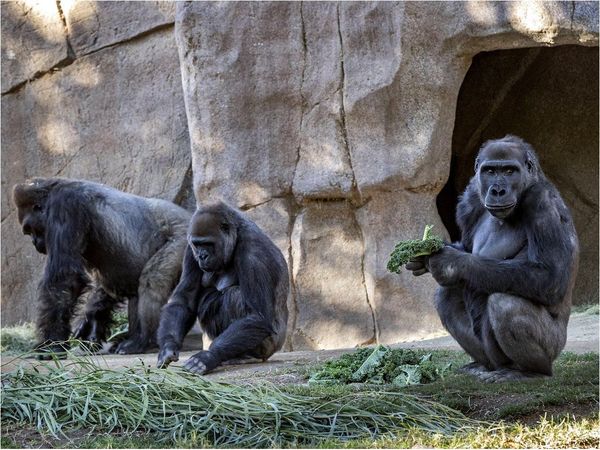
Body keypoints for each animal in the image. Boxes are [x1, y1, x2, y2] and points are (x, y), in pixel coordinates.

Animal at [12, 176, 191, 356]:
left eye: (30, 229)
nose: (34, 242)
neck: (52, 191)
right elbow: (107, 284)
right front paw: (91, 321)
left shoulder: (65, 204)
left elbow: (65, 278)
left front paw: (51, 342)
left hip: (183, 237)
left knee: (152, 280)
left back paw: (141, 340)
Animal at [157, 202, 288, 374]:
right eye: (197, 244)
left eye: (208, 243)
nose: (202, 256)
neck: (236, 235)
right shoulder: (190, 250)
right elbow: (184, 300)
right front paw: (168, 347)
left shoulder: (253, 252)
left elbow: (257, 316)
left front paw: (209, 356)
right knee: (209, 298)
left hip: (270, 346)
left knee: (234, 295)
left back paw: (247, 356)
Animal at [408, 134, 576, 384]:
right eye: (489, 171)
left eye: (509, 171)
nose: (497, 190)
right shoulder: (470, 200)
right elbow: (466, 247)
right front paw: (424, 255)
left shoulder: (542, 201)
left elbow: (549, 275)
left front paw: (450, 263)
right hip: (491, 357)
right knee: (446, 296)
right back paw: (481, 365)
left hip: (555, 346)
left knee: (505, 303)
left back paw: (530, 371)